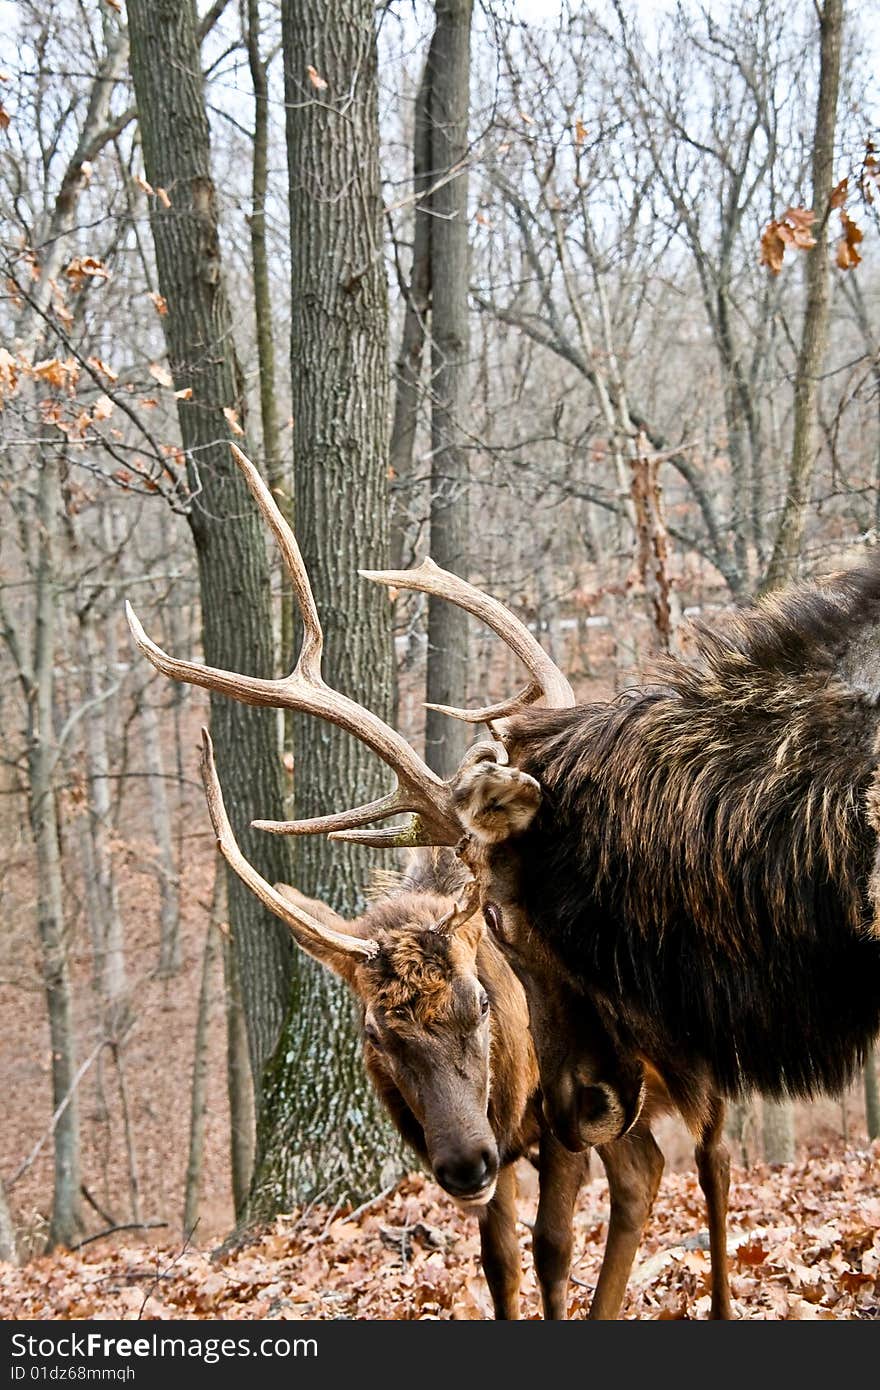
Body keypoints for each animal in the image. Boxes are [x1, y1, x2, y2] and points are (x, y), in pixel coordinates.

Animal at [121, 444, 728, 1312]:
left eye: (481, 1001)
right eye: (376, 1031)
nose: (465, 1163)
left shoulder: (559, 1111)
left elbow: (551, 1249)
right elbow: (500, 1260)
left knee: (706, 1161)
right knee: (645, 1171)